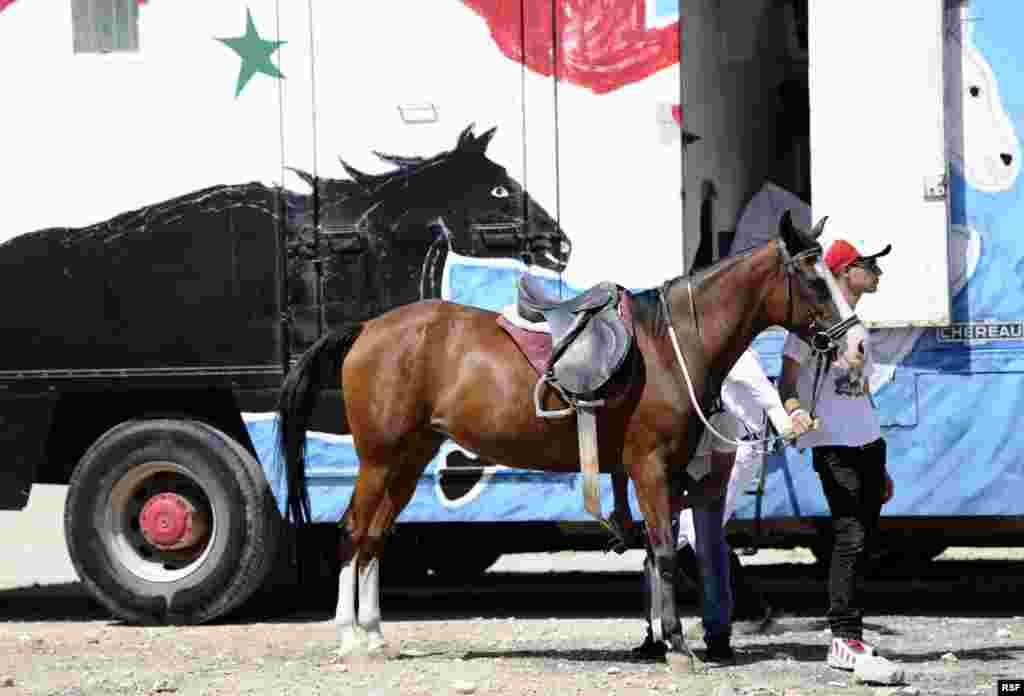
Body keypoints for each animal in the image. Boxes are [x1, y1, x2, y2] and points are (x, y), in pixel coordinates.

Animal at [274, 209, 864, 667]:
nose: (856, 345)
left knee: (375, 537)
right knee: (353, 532)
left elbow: (659, 551)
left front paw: (657, 640)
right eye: (815, 282)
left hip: (408, 459)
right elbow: (664, 550)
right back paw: (350, 635)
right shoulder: (650, 466)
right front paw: (676, 646)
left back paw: (374, 634)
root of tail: (367, 330)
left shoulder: (666, 474)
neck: (668, 345)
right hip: (379, 459)